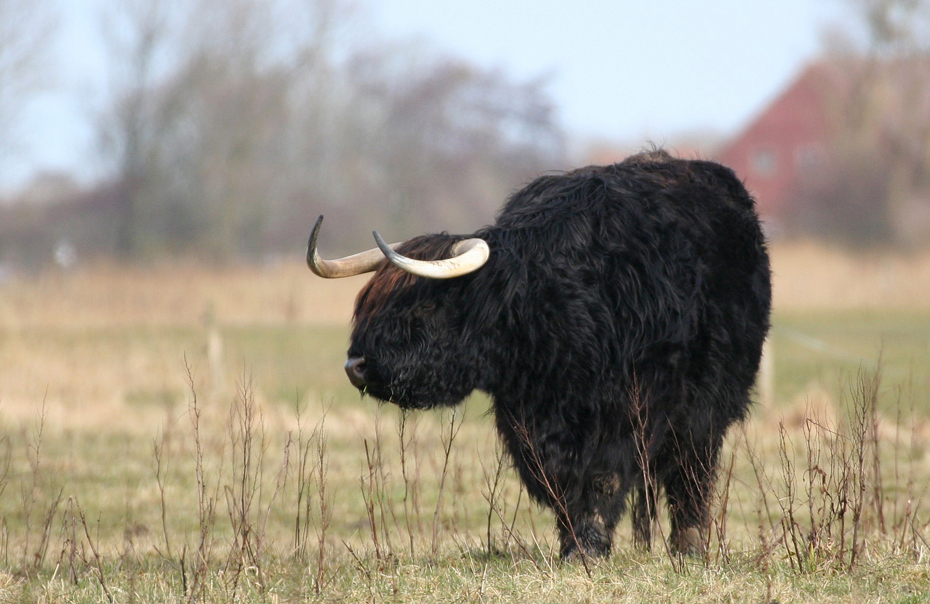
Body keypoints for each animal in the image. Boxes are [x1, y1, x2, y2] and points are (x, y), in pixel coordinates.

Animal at [304, 151, 768, 556]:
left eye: (424, 305)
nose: (355, 365)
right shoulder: (528, 422)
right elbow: (560, 485)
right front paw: (572, 546)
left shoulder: (625, 411)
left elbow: (603, 480)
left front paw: (588, 550)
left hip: (707, 405)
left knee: (692, 474)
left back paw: (690, 548)